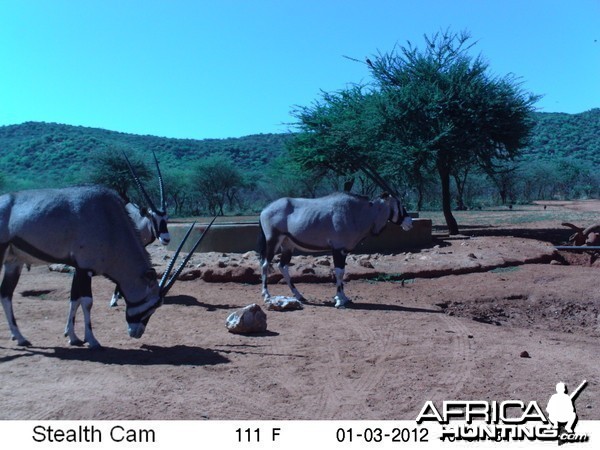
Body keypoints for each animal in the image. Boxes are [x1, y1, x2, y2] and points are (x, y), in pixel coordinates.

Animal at [0, 185, 209, 350]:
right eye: (154, 304)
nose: (137, 333)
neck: (110, 221)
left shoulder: (79, 268)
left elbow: (74, 300)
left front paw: (73, 337)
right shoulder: (85, 269)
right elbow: (86, 302)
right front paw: (92, 340)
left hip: (13, 262)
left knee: (6, 294)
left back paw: (20, 338)